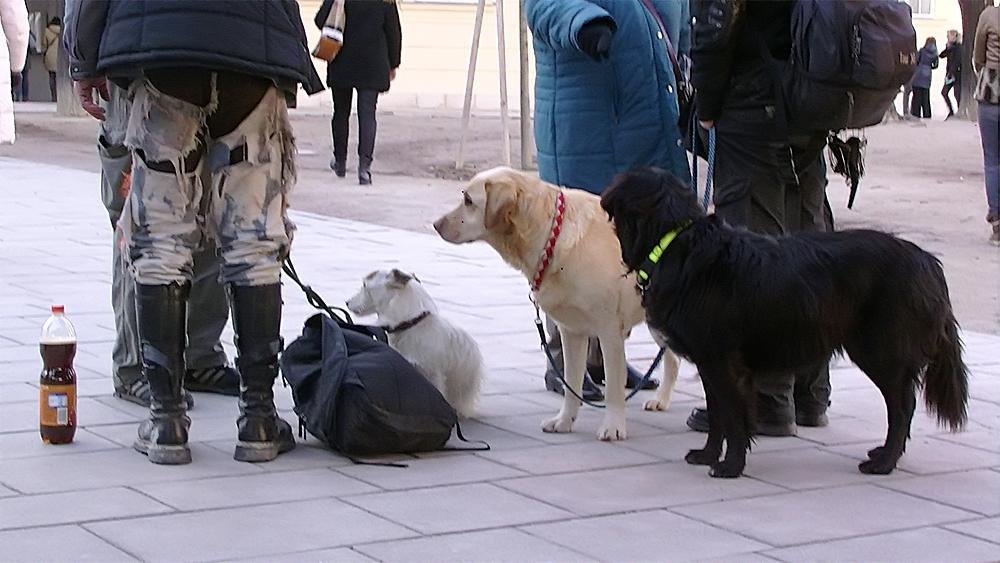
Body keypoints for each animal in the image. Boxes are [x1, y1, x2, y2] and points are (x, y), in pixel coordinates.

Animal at [433, 166, 681, 440]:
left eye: (468, 201)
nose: (436, 225)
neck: (553, 234)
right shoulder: (571, 331)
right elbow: (571, 383)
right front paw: (564, 421)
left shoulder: (609, 332)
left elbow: (614, 388)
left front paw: (613, 427)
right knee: (673, 359)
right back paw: (662, 400)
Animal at [601, 167, 969, 477]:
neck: (676, 245)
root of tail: (928, 262)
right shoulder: (709, 362)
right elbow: (717, 414)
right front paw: (707, 455)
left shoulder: (723, 362)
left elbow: (733, 417)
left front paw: (731, 466)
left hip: (880, 350)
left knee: (902, 406)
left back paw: (884, 463)